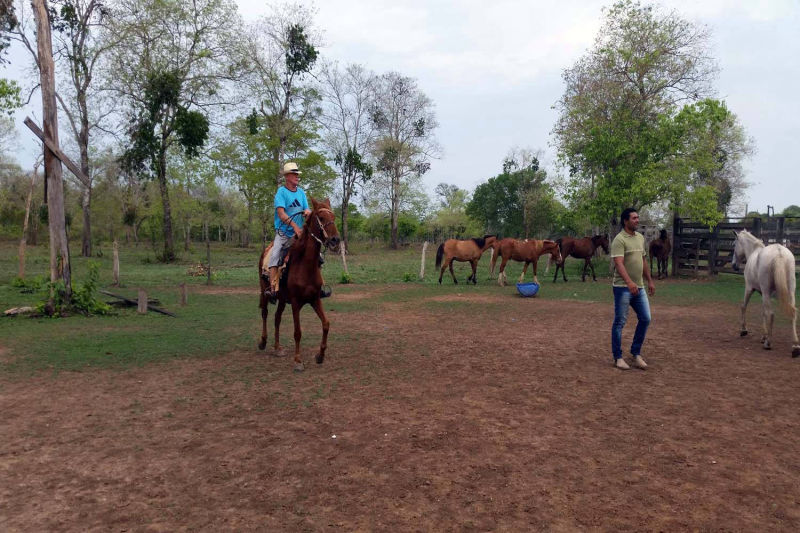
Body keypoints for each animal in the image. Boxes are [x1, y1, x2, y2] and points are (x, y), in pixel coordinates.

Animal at [260, 197, 340, 372]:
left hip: (282, 299)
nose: (335, 240)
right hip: (264, 291)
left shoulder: (315, 299)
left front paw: (320, 355)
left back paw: (277, 348)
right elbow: (297, 332)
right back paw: (262, 342)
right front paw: (297, 361)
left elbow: (326, 324)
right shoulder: (296, 302)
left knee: (277, 318)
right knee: (265, 313)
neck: (305, 265)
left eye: (333, 217)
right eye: (321, 218)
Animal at [736, 229, 796, 358]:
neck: (754, 251)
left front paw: (744, 330)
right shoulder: (763, 294)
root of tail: (779, 252)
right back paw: (795, 346)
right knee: (793, 312)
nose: (735, 265)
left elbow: (744, 306)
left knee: (771, 314)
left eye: (734, 244)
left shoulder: (750, 288)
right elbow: (763, 312)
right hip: (790, 292)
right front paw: (764, 336)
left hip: (766, 291)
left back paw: (768, 343)